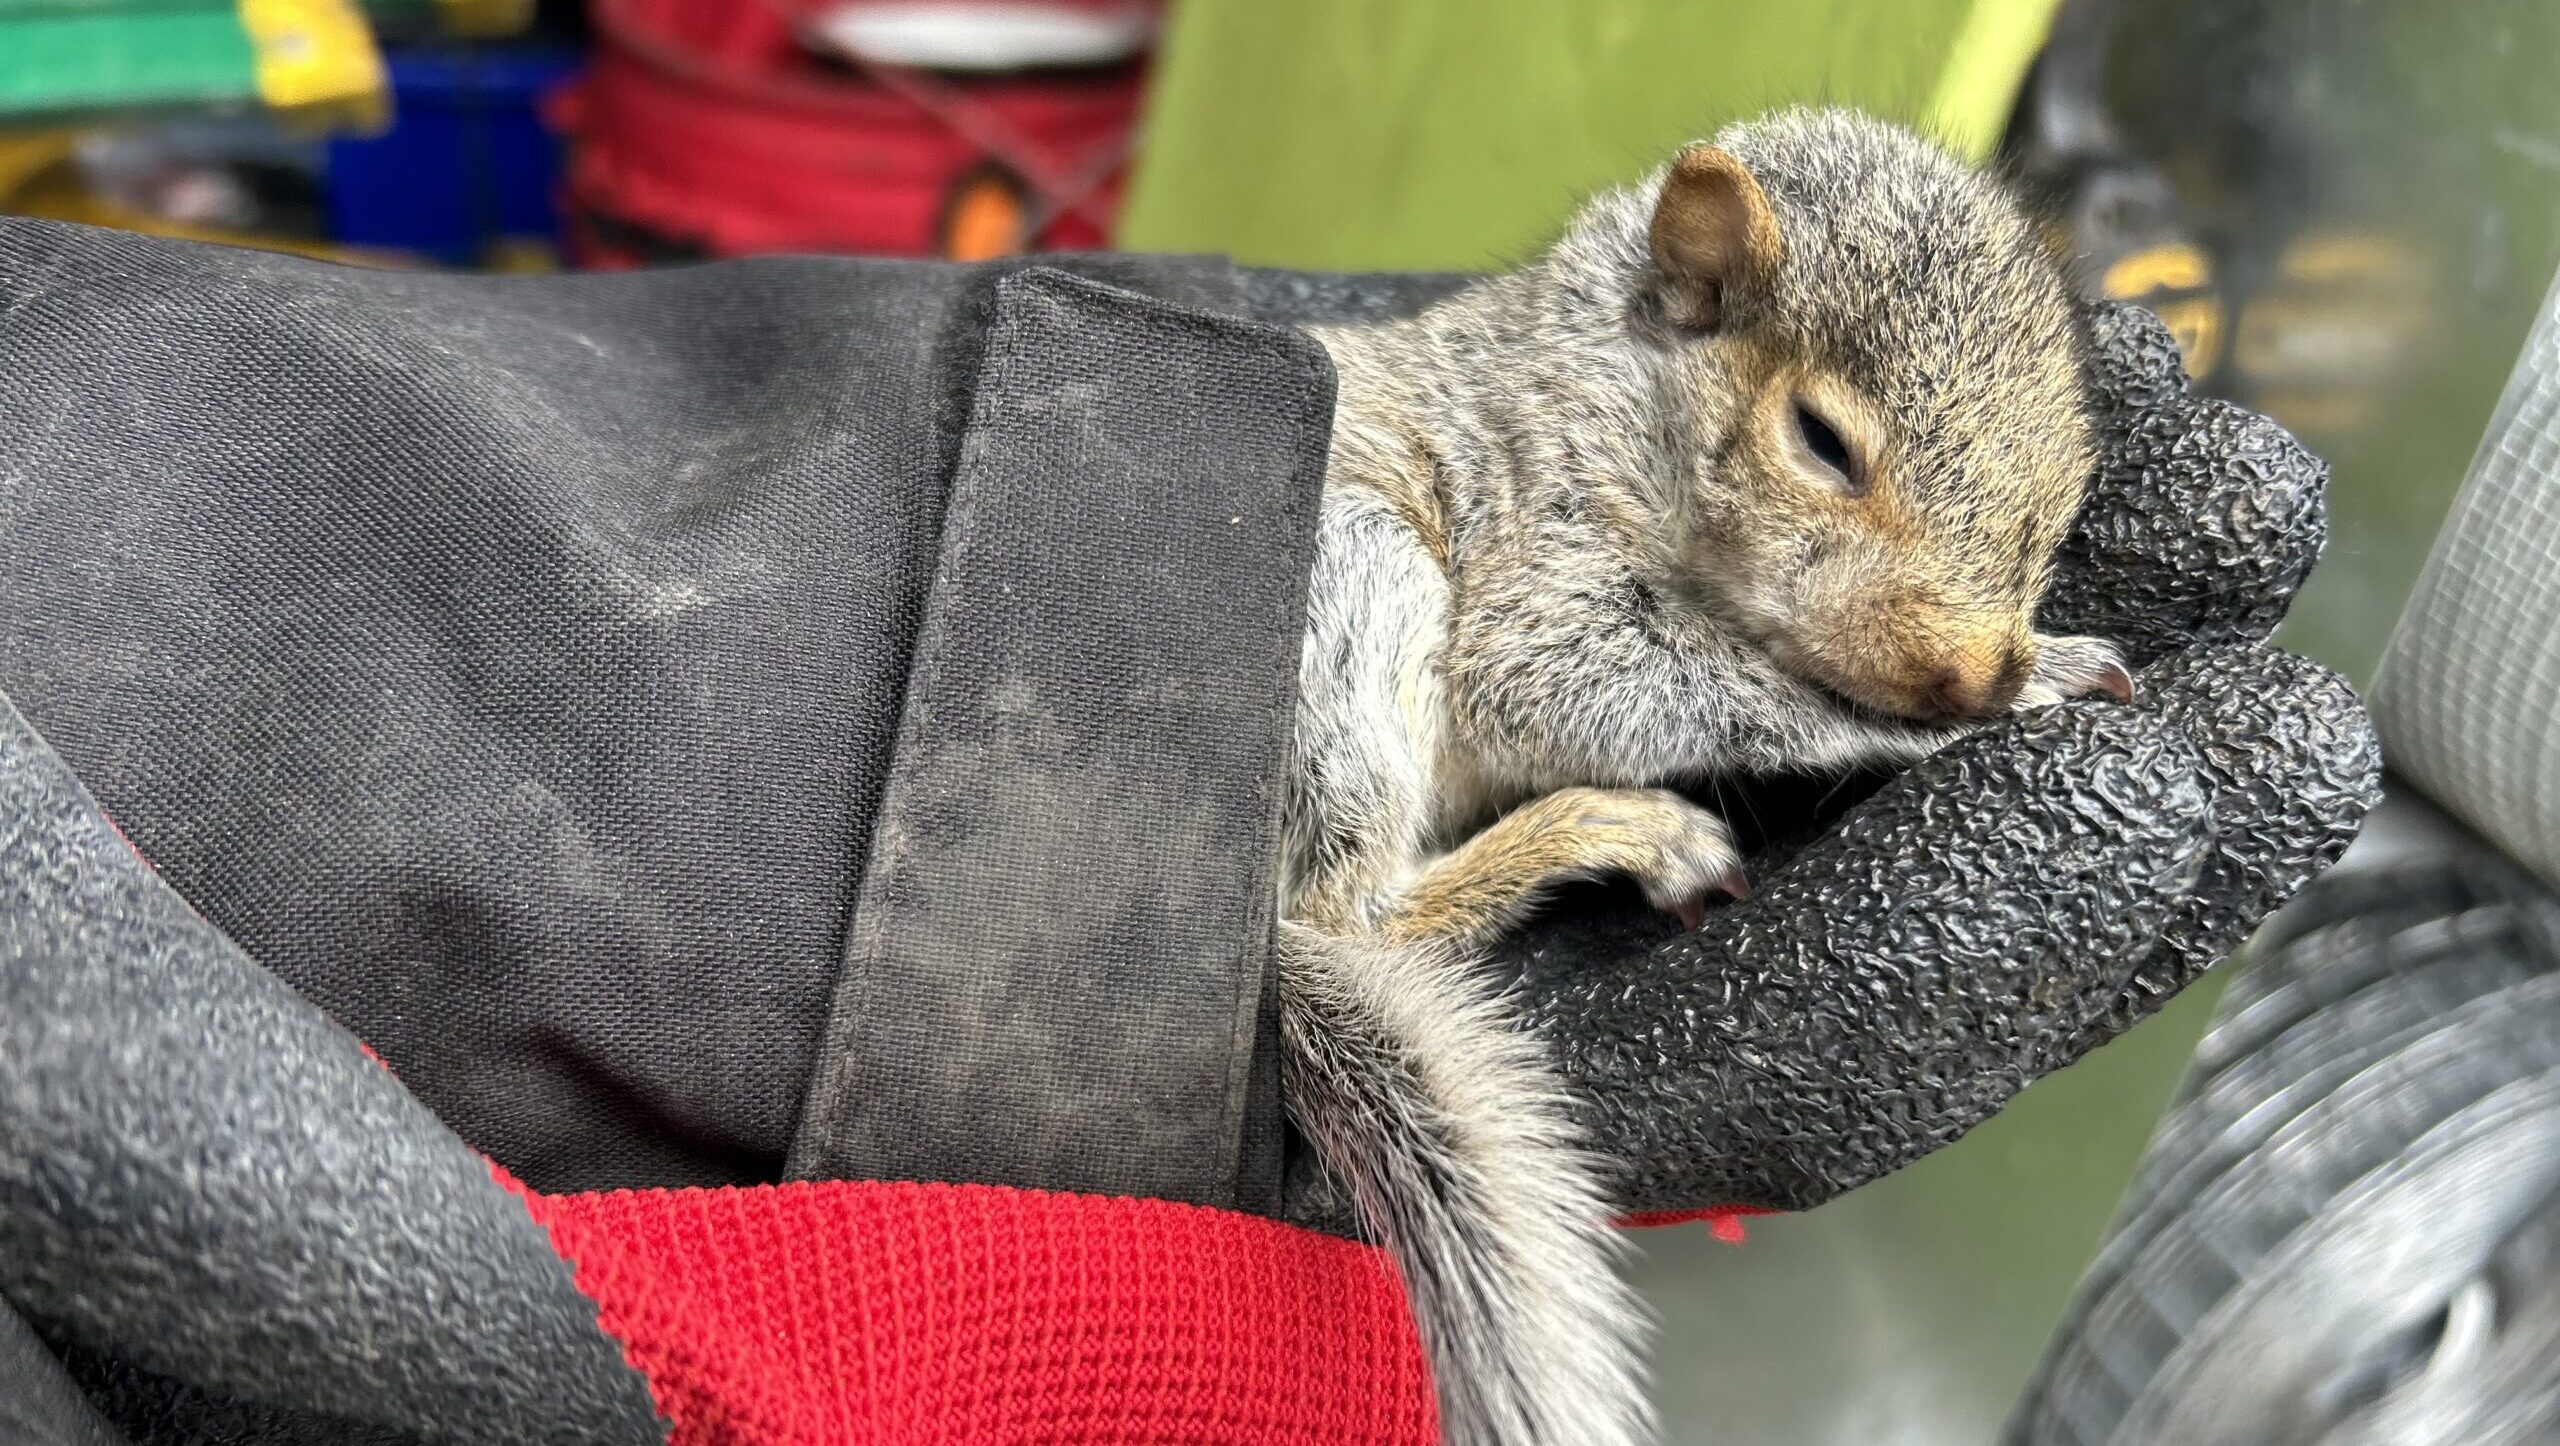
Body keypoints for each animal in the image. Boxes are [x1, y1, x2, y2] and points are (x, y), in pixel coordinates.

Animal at [1276, 108, 2134, 1446]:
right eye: (1821, 441)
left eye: (2063, 494)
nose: (1971, 671)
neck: (1617, 390)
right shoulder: (1530, 563)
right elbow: (1566, 686)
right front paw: (1950, 719)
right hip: (1351, 595)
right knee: (1351, 910)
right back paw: (1607, 830)